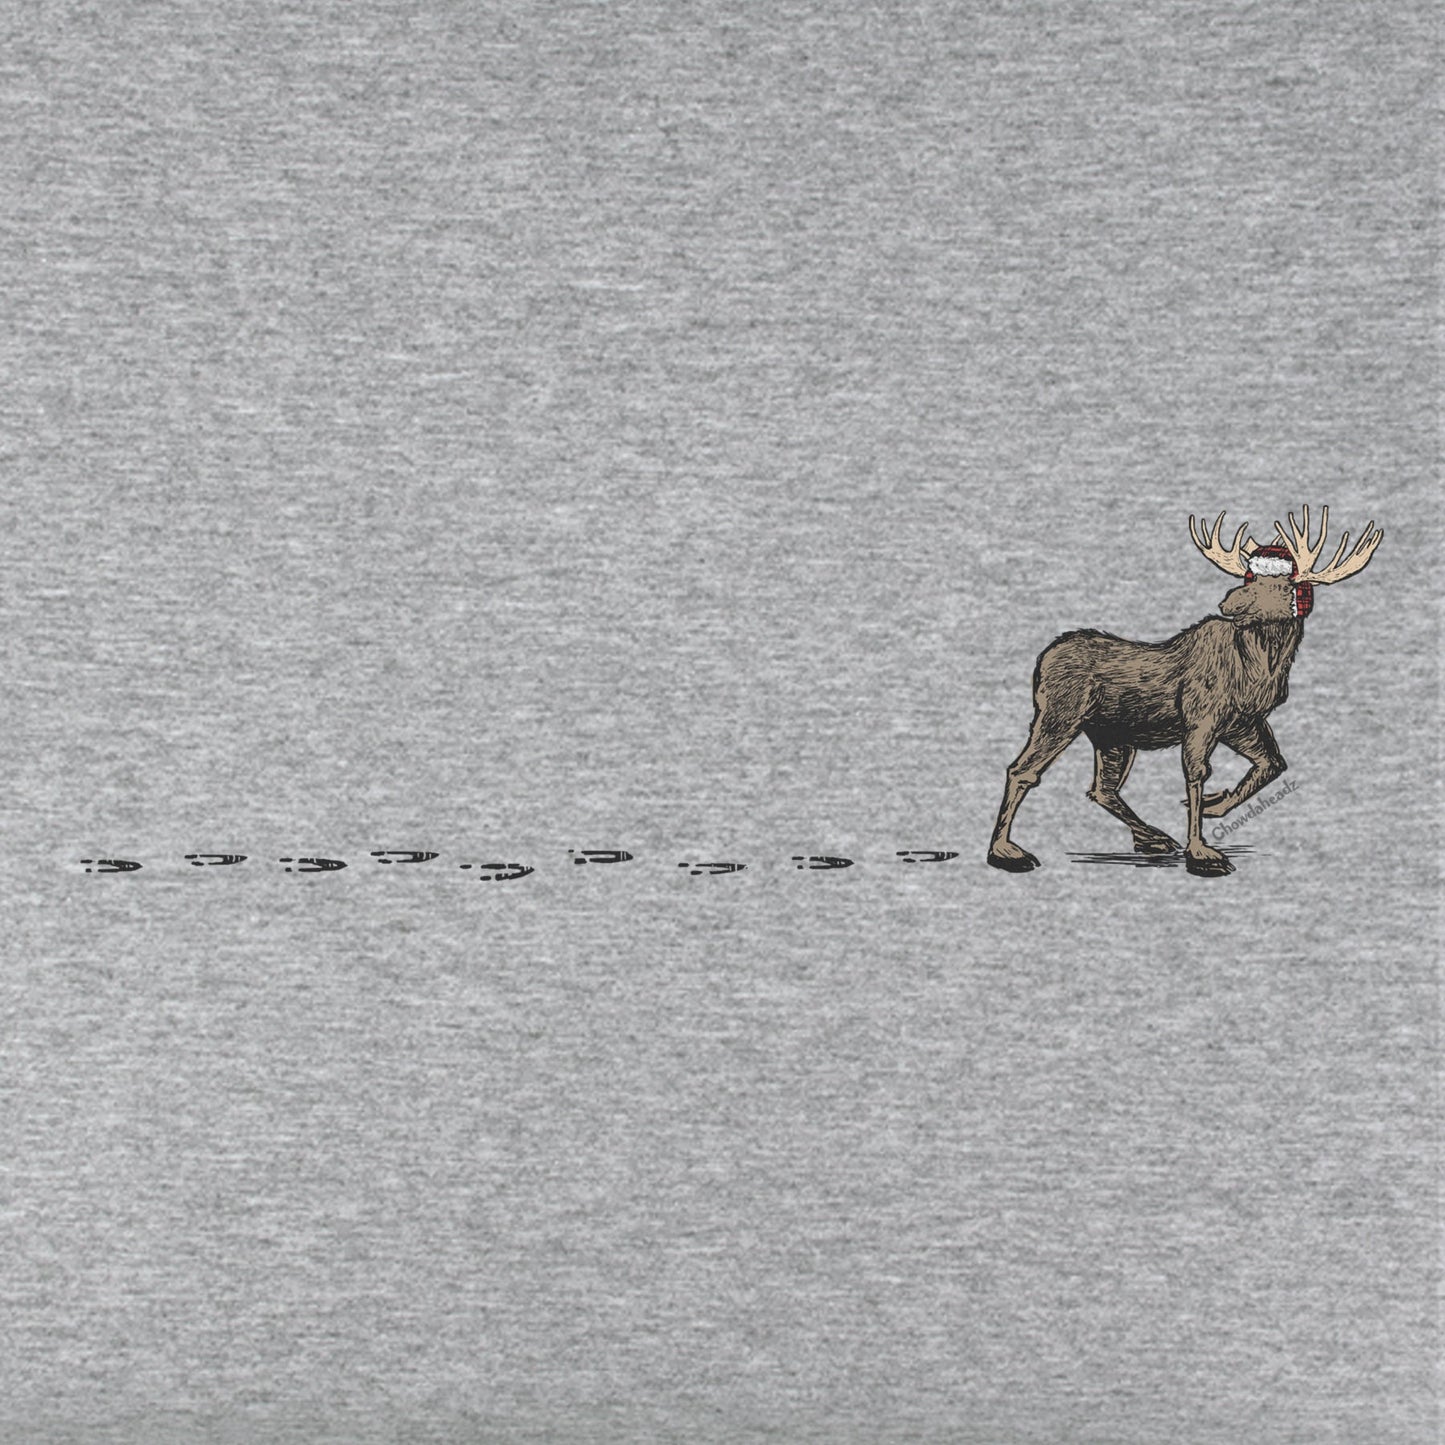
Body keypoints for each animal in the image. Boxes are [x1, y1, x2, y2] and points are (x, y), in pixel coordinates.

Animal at [987, 507, 1382, 877]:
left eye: (1286, 584)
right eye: (1249, 576)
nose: (1229, 603)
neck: (1259, 667)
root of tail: (1042, 661)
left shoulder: (1242, 724)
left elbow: (1272, 764)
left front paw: (1214, 806)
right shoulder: (1200, 719)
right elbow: (1196, 773)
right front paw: (1202, 852)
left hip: (1112, 735)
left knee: (1102, 788)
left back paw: (1152, 837)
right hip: (1061, 714)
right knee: (1022, 771)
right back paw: (1005, 851)